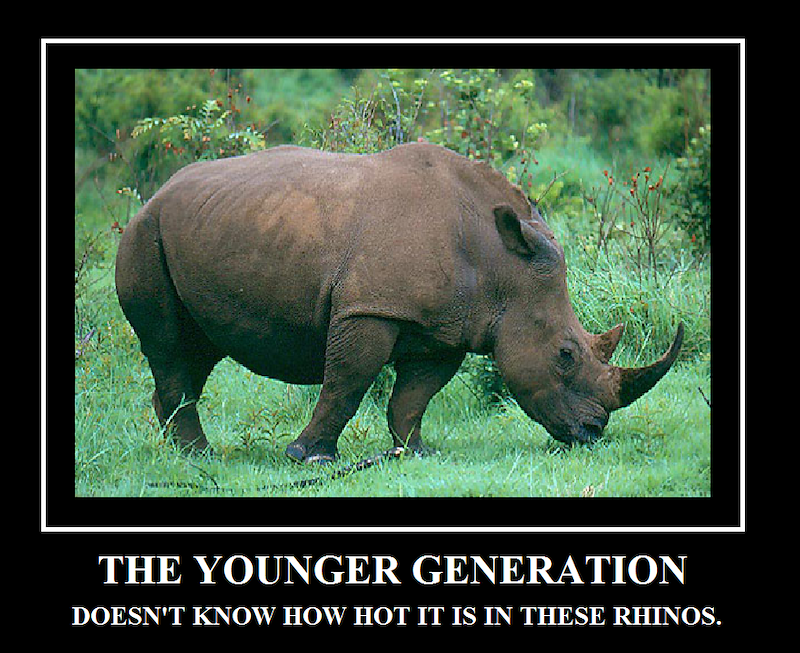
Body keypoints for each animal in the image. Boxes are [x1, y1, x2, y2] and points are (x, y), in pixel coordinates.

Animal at [115, 143, 683, 462]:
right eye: (565, 355)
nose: (593, 431)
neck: (500, 262)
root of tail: (156, 193)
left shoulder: (449, 327)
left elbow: (414, 395)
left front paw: (414, 452)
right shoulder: (371, 307)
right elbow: (347, 384)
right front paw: (309, 458)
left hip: (201, 226)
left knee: (198, 348)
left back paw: (184, 450)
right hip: (145, 233)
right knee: (168, 343)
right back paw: (202, 458)